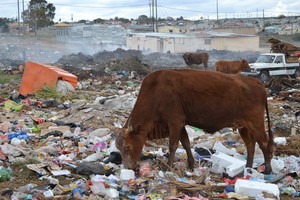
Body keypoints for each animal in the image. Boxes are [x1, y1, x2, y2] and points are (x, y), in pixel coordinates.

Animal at [115, 68, 274, 173]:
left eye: (128, 147)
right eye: (118, 148)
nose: (129, 168)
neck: (156, 91)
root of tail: (256, 82)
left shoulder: (175, 121)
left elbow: (172, 145)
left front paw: (169, 166)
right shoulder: (180, 124)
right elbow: (185, 143)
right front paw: (191, 165)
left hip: (256, 123)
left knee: (264, 143)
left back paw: (267, 169)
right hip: (244, 127)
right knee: (251, 145)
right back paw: (248, 168)